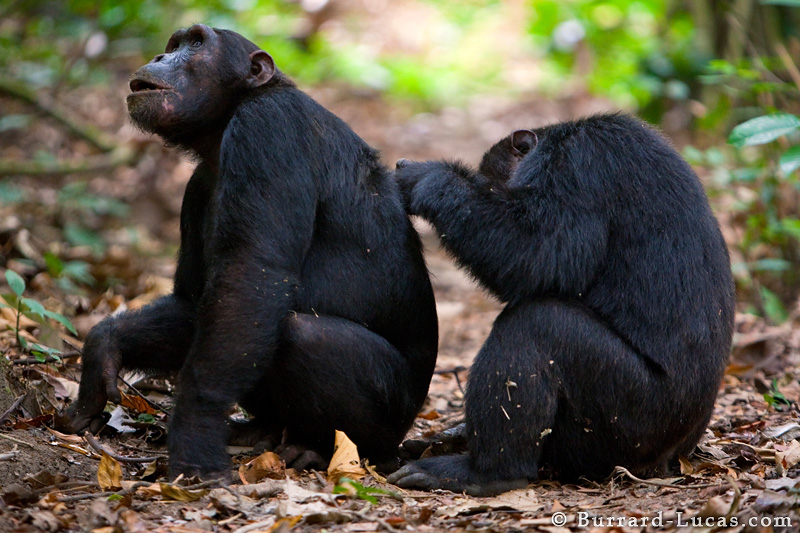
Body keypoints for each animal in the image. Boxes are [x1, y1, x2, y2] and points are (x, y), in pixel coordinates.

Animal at [57, 25, 438, 478]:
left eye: (196, 44)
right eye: (173, 45)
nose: (159, 57)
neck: (226, 122)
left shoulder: (267, 129)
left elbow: (250, 277)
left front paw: (196, 434)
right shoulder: (197, 187)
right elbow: (197, 298)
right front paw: (103, 347)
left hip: (390, 417)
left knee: (306, 336)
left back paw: (319, 449)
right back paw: (262, 428)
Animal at [390, 112, 736, 494]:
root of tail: (671, 461)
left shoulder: (577, 164)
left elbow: (539, 251)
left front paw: (426, 177)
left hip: (631, 423)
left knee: (540, 324)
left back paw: (485, 473)